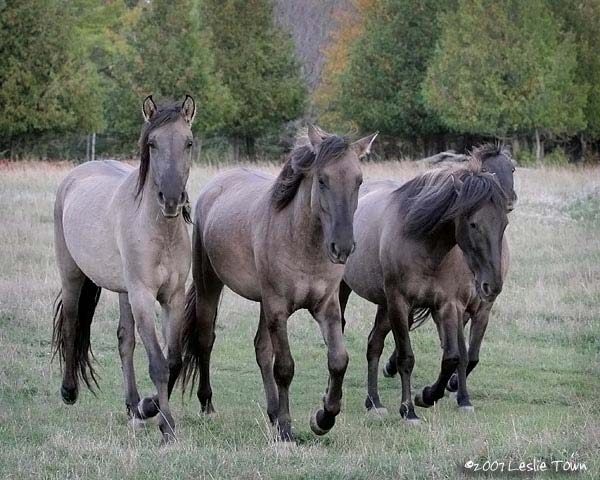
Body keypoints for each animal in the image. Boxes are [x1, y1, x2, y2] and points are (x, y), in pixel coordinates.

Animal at [52, 95, 196, 444]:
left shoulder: (171, 297)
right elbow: (158, 363)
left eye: (188, 142)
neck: (160, 231)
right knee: (72, 323)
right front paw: (167, 427)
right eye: (153, 144)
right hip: (72, 275)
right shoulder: (143, 295)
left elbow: (173, 361)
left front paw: (147, 408)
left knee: (125, 340)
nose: (171, 200)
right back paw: (69, 391)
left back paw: (133, 405)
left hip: (122, 291)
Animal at [342, 156, 506, 422]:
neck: (423, 244)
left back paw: (374, 402)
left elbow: (452, 357)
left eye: (504, 223)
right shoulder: (400, 303)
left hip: (385, 306)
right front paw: (408, 411)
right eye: (473, 224)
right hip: (350, 293)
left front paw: (426, 396)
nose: (492, 285)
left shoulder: (448, 305)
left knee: (374, 343)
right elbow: (406, 358)